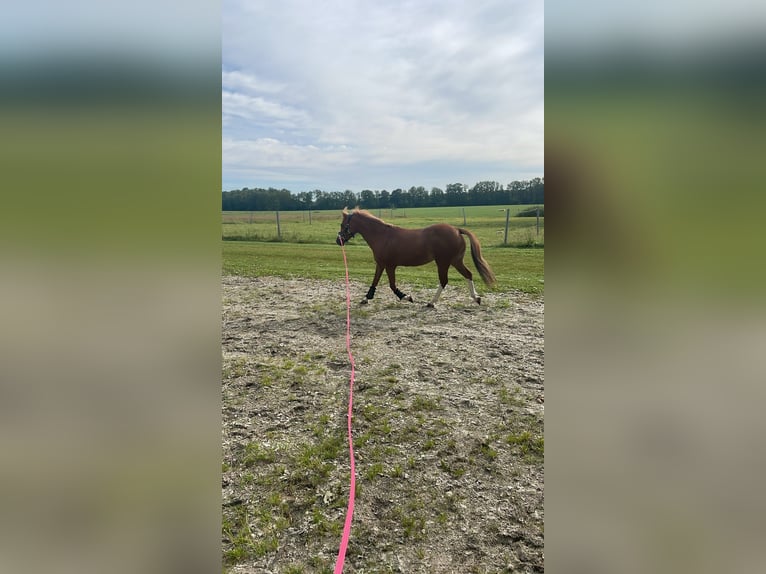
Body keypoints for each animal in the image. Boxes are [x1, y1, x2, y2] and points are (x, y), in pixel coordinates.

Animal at [338, 209, 498, 308]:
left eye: (342, 224)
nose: (337, 240)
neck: (383, 236)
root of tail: (457, 230)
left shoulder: (389, 265)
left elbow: (392, 285)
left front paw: (406, 297)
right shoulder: (381, 264)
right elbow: (375, 281)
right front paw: (366, 298)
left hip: (443, 262)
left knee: (444, 281)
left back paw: (432, 302)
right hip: (455, 261)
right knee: (468, 274)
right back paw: (476, 298)